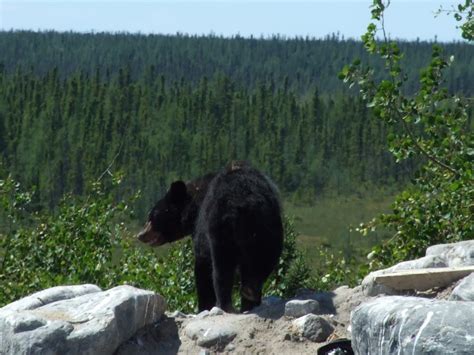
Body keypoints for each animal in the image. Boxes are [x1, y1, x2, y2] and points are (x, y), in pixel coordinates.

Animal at [139, 163, 284, 312]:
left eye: (152, 216)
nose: (140, 235)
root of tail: (244, 203)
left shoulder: (201, 227)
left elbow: (202, 263)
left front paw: (204, 306)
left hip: (221, 229)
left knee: (221, 269)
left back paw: (225, 304)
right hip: (269, 229)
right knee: (264, 260)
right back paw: (251, 295)